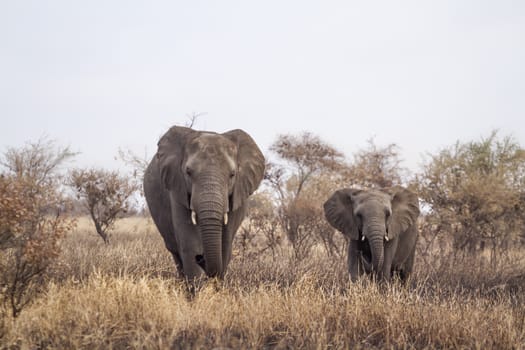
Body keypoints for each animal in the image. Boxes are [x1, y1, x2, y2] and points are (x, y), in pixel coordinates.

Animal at [143, 124, 264, 280]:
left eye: (232, 174)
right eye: (188, 172)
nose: (201, 258)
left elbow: (225, 244)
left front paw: (218, 285)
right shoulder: (177, 188)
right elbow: (190, 243)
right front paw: (197, 286)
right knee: (175, 251)